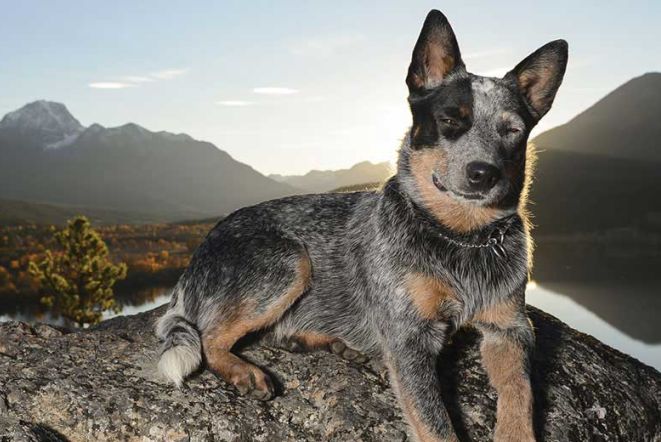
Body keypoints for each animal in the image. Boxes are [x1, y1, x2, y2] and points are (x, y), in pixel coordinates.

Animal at [156, 10, 568, 442]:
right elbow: (436, 424)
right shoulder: (409, 339)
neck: (461, 238)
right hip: (289, 261)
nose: (483, 173)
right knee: (210, 336)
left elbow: (520, 393)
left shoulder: (510, 327)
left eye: (512, 131)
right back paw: (244, 371)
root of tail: (194, 260)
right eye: (449, 120)